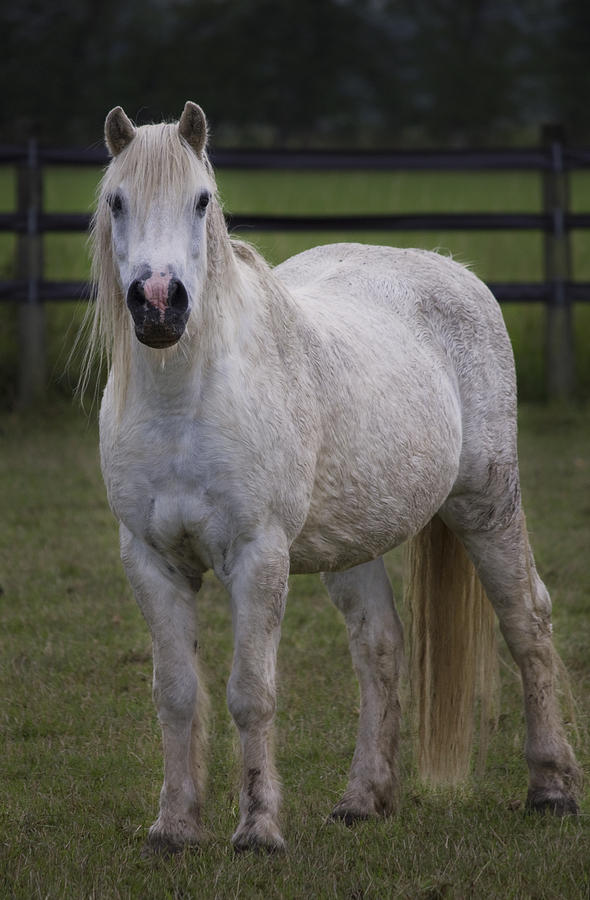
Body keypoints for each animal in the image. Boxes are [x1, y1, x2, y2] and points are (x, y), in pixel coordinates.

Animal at [88, 103, 584, 852]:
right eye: (116, 201)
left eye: (201, 200)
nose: (157, 304)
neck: (184, 402)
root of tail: (455, 271)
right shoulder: (150, 560)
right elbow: (175, 694)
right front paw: (174, 828)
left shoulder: (258, 556)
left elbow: (250, 693)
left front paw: (258, 830)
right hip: (353, 544)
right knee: (379, 648)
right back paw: (362, 800)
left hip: (487, 503)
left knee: (528, 621)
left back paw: (551, 789)